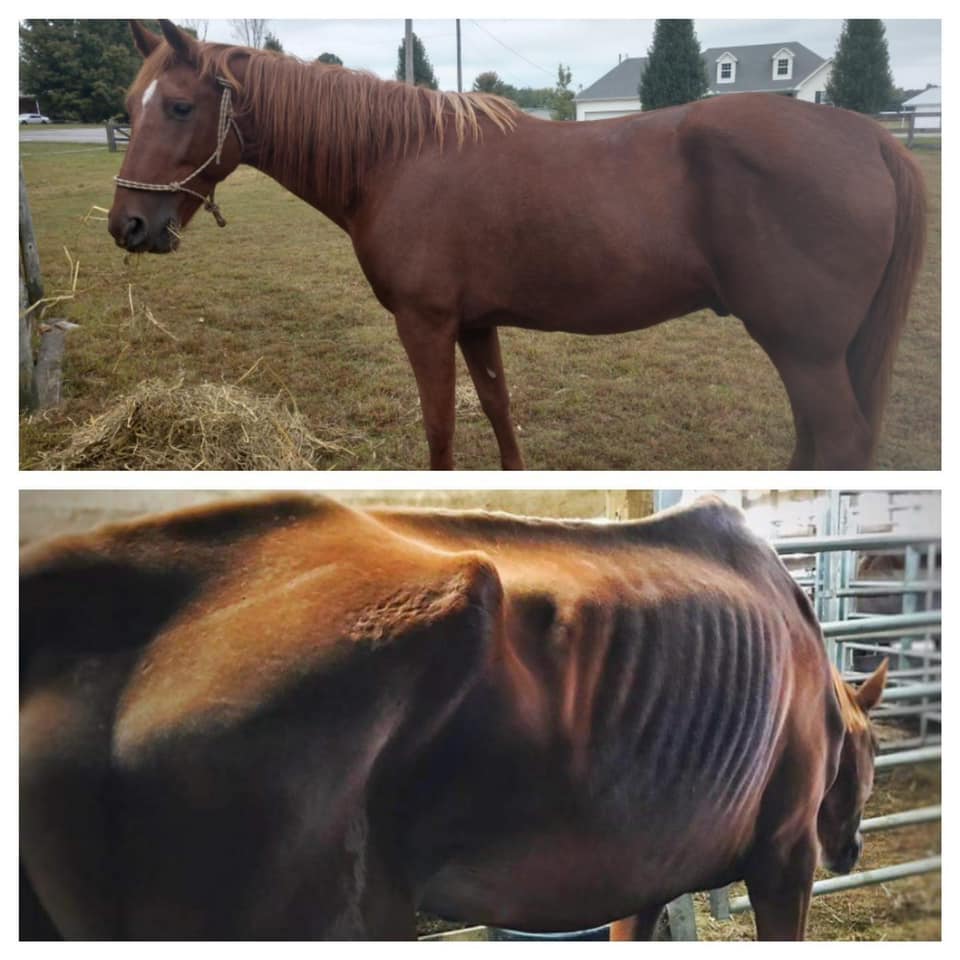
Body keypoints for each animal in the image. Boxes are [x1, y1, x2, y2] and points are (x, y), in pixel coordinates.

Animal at [106, 21, 926, 471]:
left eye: (178, 107)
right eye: (127, 108)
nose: (127, 226)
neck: (396, 159)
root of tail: (870, 138)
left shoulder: (426, 325)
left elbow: (441, 429)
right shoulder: (476, 325)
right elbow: (499, 411)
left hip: (804, 349)